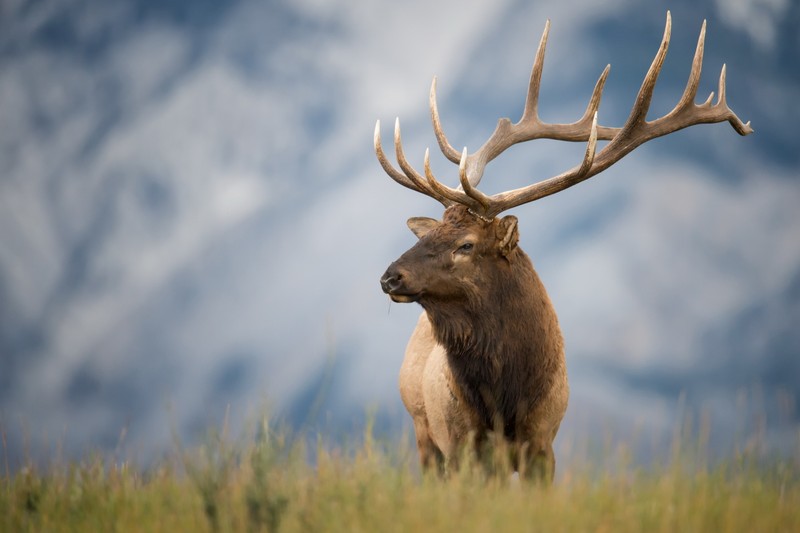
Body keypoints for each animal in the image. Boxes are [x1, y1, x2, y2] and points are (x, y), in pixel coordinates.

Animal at [376, 12, 752, 480]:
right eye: (428, 235)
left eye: (466, 245)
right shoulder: (463, 446)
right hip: (425, 435)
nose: (390, 276)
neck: (507, 400)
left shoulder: (543, 444)